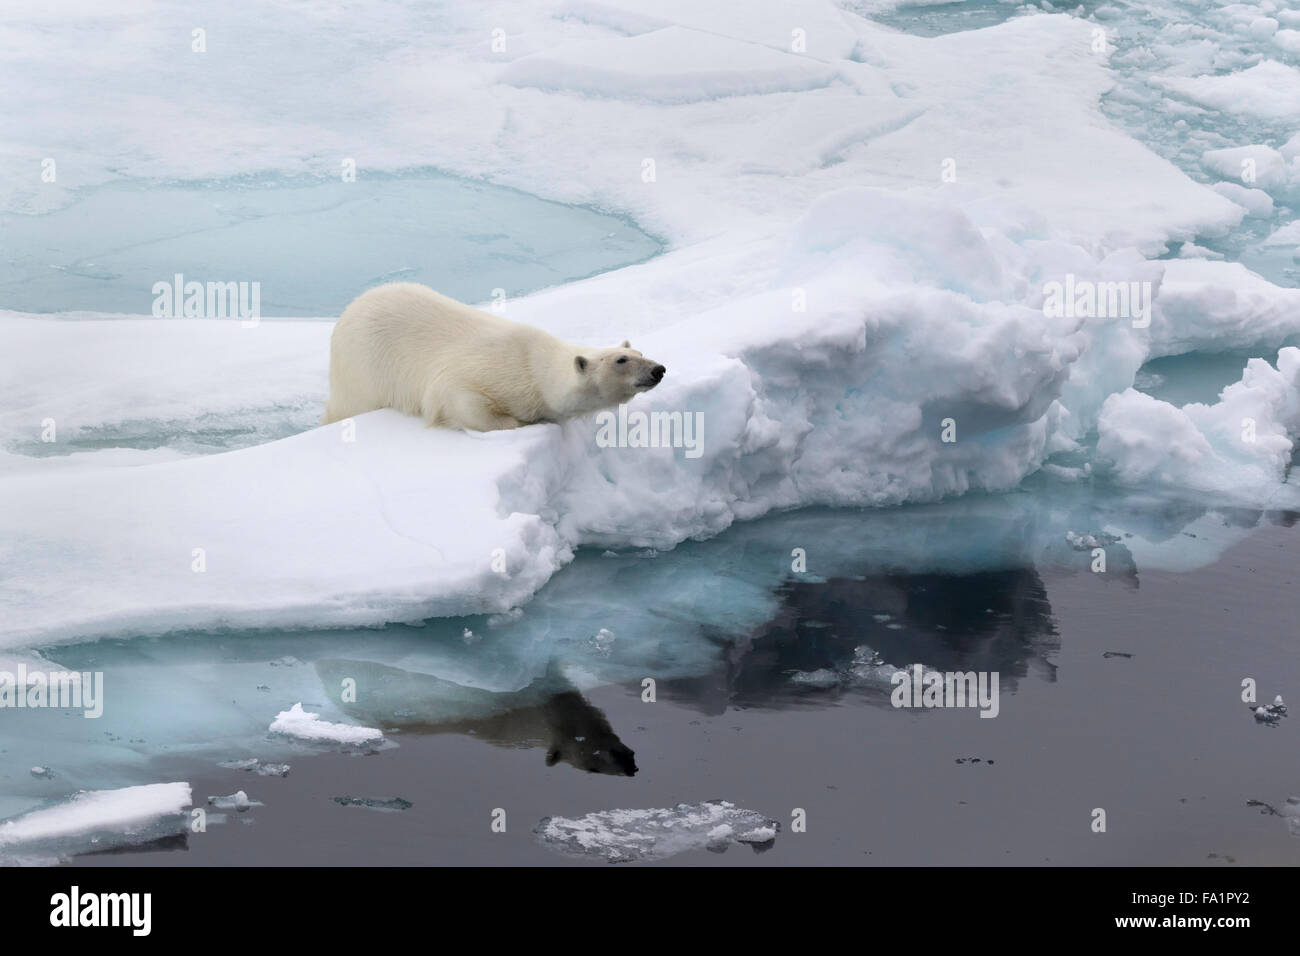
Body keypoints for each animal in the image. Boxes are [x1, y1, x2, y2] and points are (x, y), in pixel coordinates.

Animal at [319, 282, 665, 431]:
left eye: (638, 351)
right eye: (621, 360)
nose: (658, 369)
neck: (533, 365)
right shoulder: (488, 370)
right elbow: (457, 398)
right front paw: (520, 422)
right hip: (363, 367)